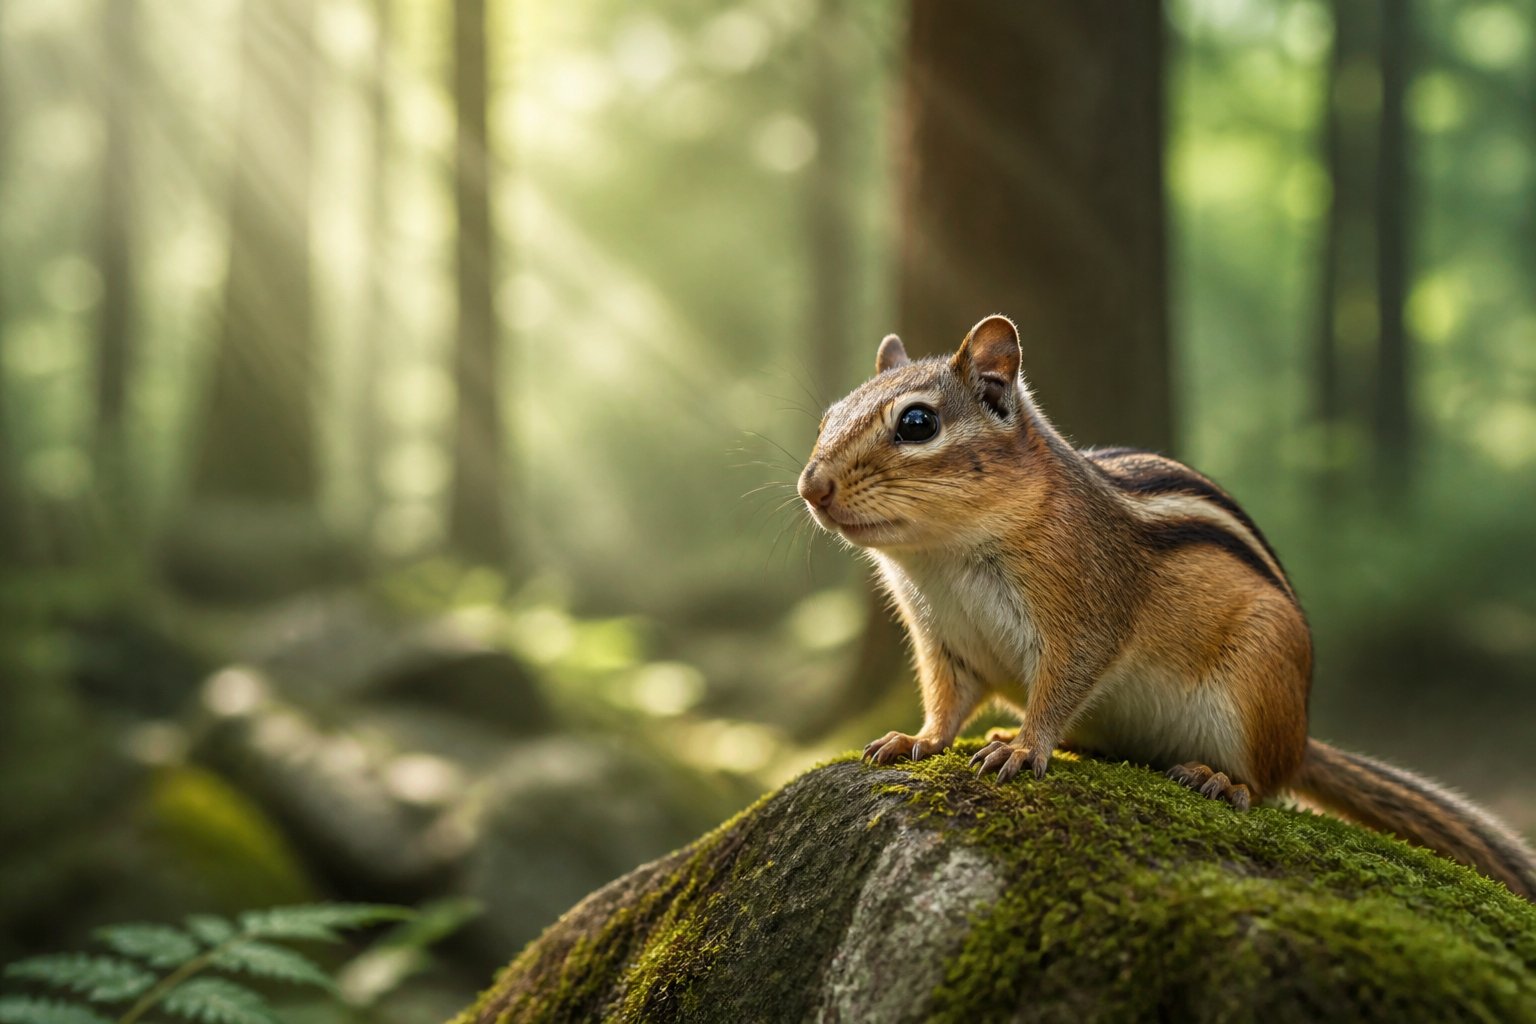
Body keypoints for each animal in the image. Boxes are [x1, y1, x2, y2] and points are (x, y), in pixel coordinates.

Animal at [798, 313, 1536, 901]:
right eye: (827, 417)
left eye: (918, 423)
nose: (812, 486)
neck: (942, 557)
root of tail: (1300, 737)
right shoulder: (943, 641)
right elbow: (947, 703)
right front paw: (917, 740)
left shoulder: (1086, 613)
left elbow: (1060, 687)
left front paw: (1023, 747)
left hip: (1256, 687)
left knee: (1268, 783)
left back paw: (1221, 780)